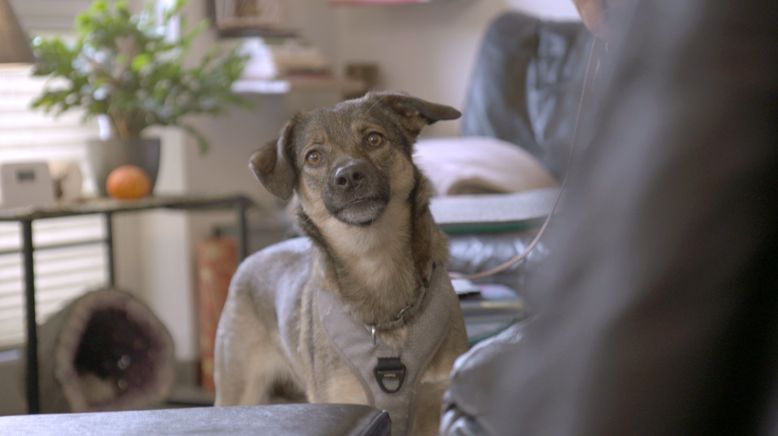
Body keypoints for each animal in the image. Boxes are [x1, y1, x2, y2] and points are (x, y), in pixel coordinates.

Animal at [214, 90, 466, 434]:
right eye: (314, 157)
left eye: (374, 138)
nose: (348, 175)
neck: (373, 257)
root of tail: (250, 260)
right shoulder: (343, 397)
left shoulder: (434, 402)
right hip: (239, 390)